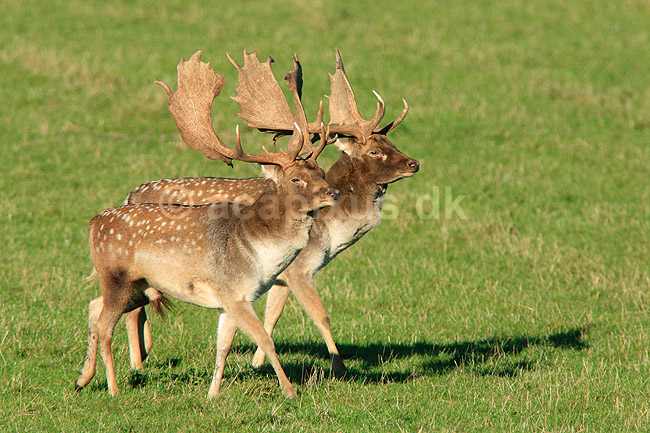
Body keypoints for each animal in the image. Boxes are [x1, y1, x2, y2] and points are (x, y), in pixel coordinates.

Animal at [75, 50, 340, 398]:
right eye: (296, 178)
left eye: (320, 170)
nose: (334, 192)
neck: (259, 252)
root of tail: (93, 224)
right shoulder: (233, 292)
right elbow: (265, 339)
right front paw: (290, 391)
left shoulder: (230, 301)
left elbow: (223, 346)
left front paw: (213, 394)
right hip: (117, 276)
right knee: (106, 326)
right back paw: (113, 389)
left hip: (140, 285)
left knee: (95, 308)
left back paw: (82, 378)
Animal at [113, 49, 420, 375]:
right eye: (374, 151)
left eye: (391, 141)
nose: (414, 163)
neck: (332, 234)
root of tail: (130, 195)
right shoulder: (300, 269)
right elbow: (320, 315)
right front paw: (339, 367)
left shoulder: (280, 277)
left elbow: (272, 317)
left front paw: (258, 362)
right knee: (133, 310)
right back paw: (137, 364)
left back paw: (144, 356)